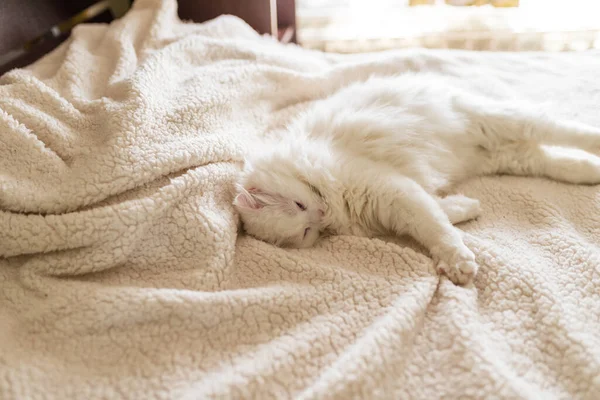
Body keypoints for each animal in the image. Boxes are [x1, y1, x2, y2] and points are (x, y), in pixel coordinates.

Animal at [232, 74, 600, 284]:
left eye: (299, 204)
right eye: (307, 232)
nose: (320, 215)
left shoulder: (391, 189)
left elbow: (437, 229)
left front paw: (459, 263)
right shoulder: (401, 196)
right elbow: (442, 212)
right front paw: (469, 208)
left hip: (503, 120)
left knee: (562, 130)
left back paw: (595, 147)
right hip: (508, 156)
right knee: (553, 160)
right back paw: (591, 171)